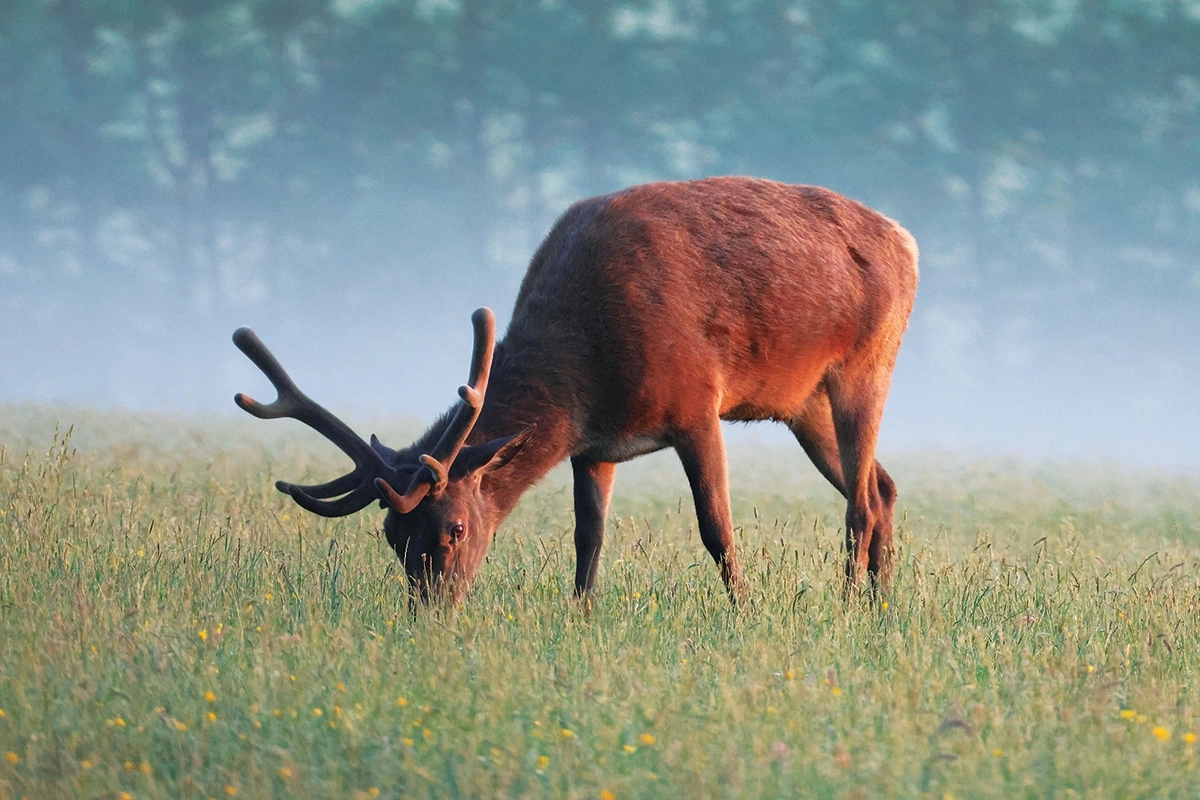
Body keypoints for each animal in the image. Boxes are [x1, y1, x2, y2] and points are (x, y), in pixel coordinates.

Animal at [233, 176, 918, 605]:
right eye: (392, 539)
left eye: (454, 528)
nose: (430, 611)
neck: (584, 372)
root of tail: (907, 242)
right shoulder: (594, 445)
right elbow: (588, 538)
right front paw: (581, 615)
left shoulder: (697, 401)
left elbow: (716, 527)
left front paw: (745, 612)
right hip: (803, 404)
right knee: (883, 485)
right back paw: (881, 608)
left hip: (867, 363)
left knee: (861, 499)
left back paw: (848, 604)